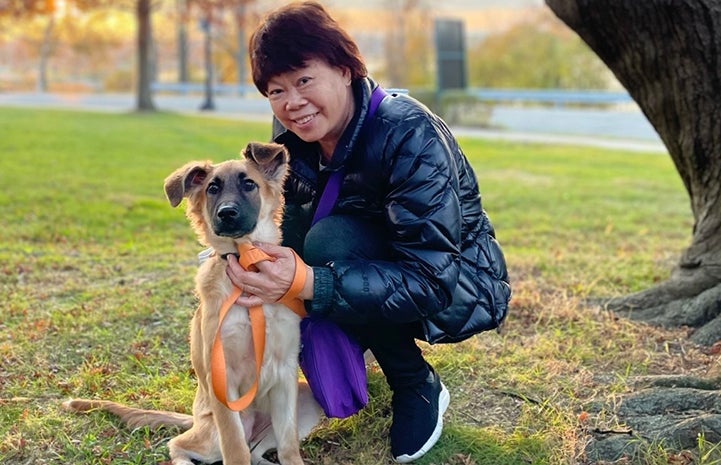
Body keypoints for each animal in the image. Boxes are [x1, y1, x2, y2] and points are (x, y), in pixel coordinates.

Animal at [63, 142, 322, 464]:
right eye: (212, 188)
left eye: (249, 184)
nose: (227, 213)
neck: (244, 262)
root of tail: (195, 419)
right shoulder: (222, 378)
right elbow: (235, 450)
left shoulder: (285, 373)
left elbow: (287, 446)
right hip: (212, 433)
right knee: (181, 444)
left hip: (306, 398)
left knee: (256, 451)